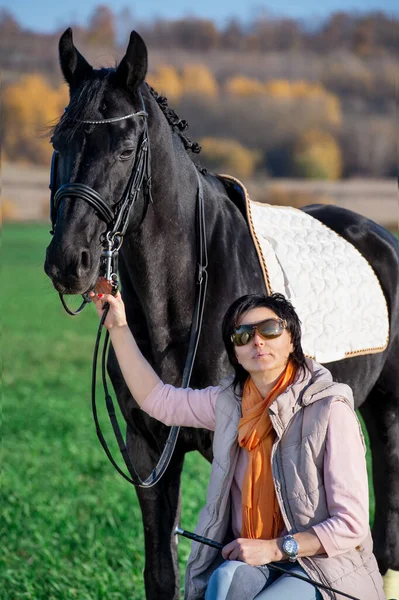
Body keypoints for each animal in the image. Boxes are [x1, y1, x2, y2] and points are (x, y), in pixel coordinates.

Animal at [44, 29, 399, 600]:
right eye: (59, 142)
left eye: (125, 149)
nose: (67, 262)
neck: (184, 300)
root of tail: (379, 236)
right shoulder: (148, 452)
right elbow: (161, 574)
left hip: (388, 411)